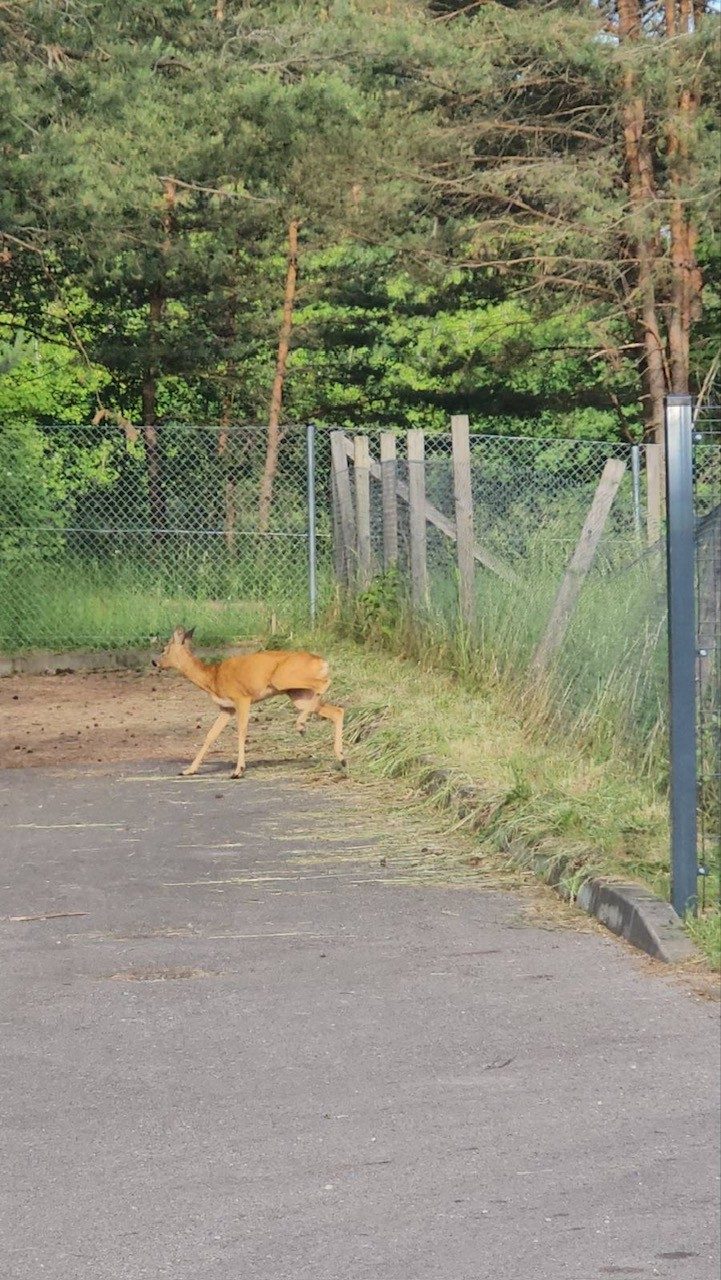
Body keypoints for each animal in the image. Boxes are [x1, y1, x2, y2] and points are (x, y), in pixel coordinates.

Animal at [151, 629, 345, 778]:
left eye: (164, 649)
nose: (154, 662)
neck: (212, 677)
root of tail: (322, 661)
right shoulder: (226, 708)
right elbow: (211, 735)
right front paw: (188, 770)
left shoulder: (242, 698)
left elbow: (242, 731)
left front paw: (238, 771)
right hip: (298, 694)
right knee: (337, 710)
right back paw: (341, 758)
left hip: (284, 680)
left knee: (324, 683)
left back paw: (301, 726)